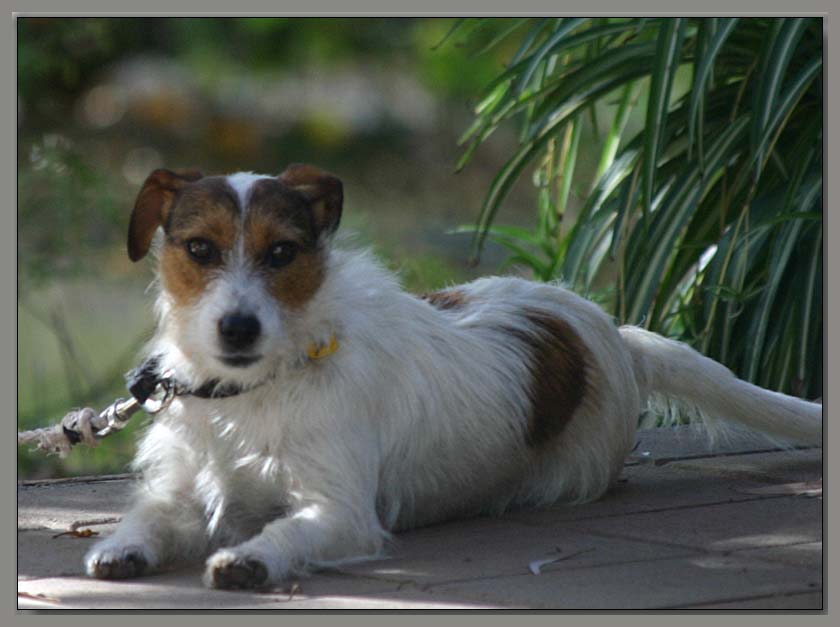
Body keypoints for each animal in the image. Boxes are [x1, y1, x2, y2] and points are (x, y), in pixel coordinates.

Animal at [83, 166, 820, 588]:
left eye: (282, 253)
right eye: (199, 249)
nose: (237, 328)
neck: (255, 391)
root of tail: (605, 329)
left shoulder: (341, 510)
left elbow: (291, 530)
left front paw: (252, 558)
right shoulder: (184, 486)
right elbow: (153, 514)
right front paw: (123, 545)